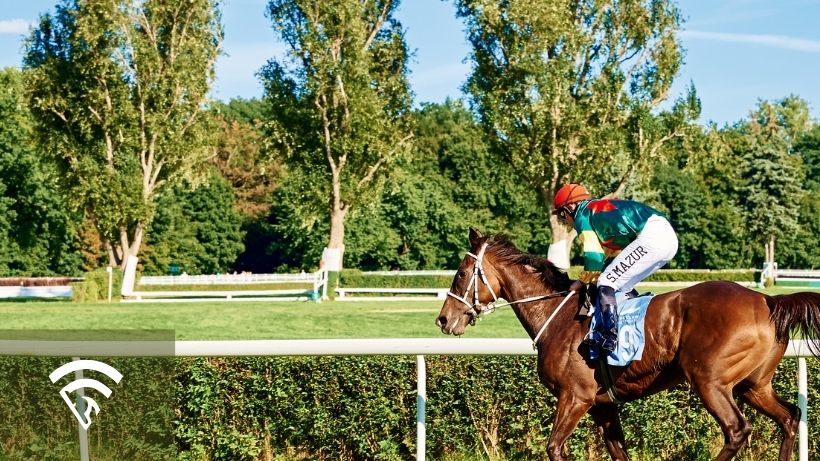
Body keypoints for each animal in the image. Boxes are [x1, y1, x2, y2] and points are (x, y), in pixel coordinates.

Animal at [435, 228, 820, 461]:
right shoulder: (604, 406)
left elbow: (555, 447)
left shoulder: (575, 396)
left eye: (460, 273)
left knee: (737, 430)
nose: (442, 319)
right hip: (753, 385)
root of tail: (768, 301)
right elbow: (618, 450)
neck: (558, 316)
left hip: (710, 381)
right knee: (789, 418)